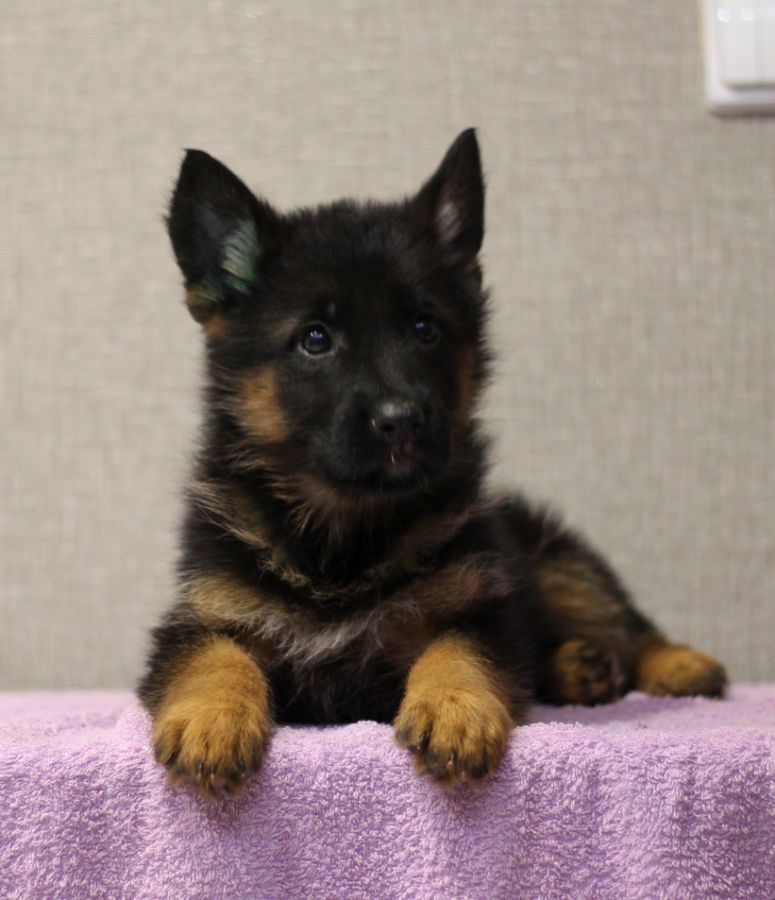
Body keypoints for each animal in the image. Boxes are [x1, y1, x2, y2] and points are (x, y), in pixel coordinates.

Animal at [138, 130, 727, 796]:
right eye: (315, 339)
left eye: (425, 328)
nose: (402, 420)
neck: (345, 534)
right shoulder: (202, 615)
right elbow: (213, 657)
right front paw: (211, 719)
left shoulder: (477, 604)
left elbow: (460, 649)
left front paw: (453, 709)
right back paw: (581, 668)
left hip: (558, 563)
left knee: (626, 624)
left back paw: (676, 663)